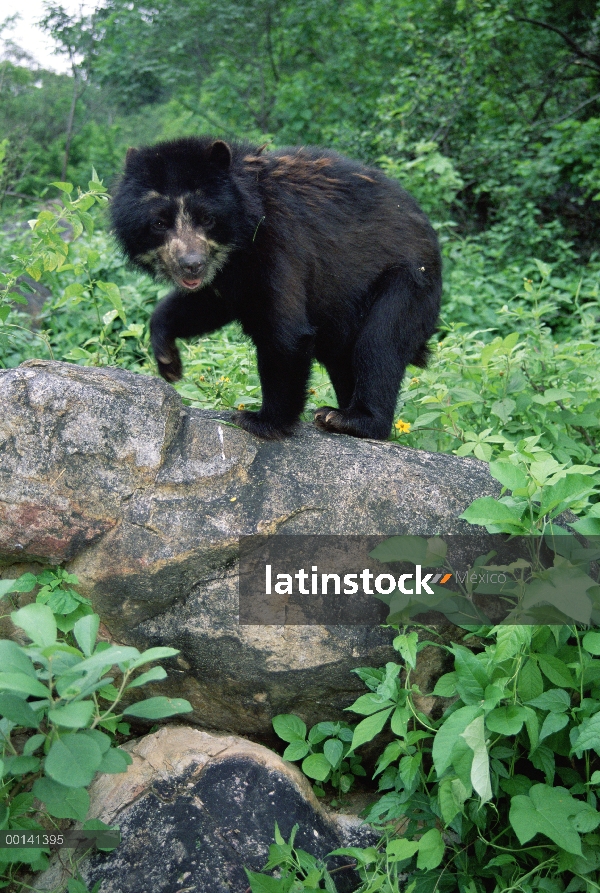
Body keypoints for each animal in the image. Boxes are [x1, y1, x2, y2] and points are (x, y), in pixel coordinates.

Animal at [111, 138, 440, 440]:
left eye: (207, 218)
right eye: (158, 223)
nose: (191, 265)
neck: (241, 236)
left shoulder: (279, 243)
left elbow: (284, 334)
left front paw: (261, 420)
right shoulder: (230, 275)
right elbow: (206, 305)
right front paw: (168, 359)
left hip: (408, 285)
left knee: (380, 343)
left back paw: (350, 419)